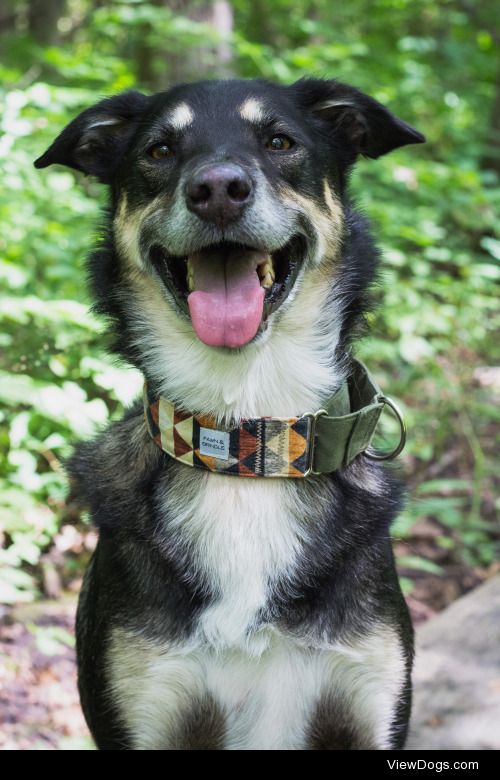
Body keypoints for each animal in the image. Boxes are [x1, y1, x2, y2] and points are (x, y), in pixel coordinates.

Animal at [35, 79, 424, 748]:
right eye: (160, 149)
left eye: (280, 141)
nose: (217, 189)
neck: (249, 442)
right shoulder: (147, 705)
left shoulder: (369, 704)